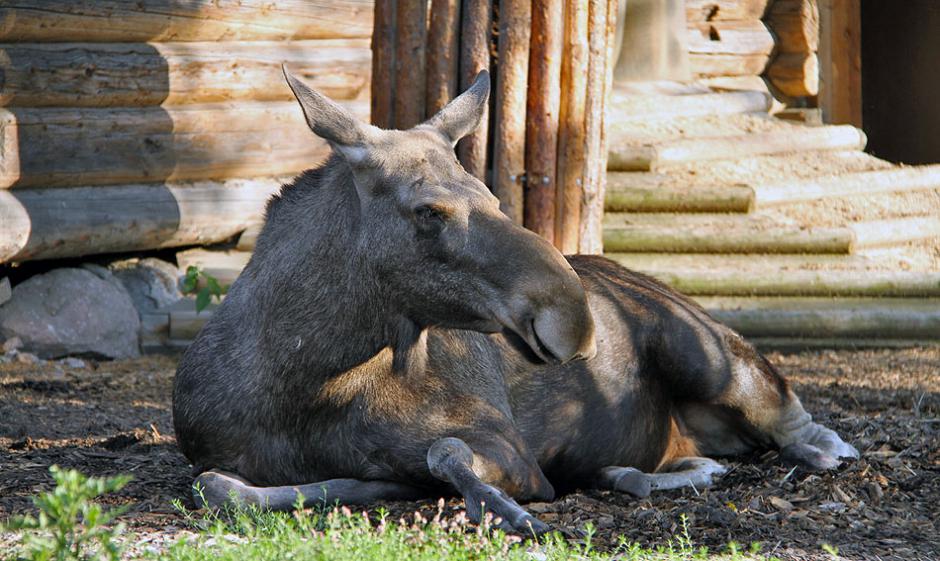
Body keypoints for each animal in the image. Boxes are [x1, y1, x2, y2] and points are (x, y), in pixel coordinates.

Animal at [171, 68, 860, 532]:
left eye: (494, 196)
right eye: (429, 211)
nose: (574, 317)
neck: (306, 381)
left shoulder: (509, 448)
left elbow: (446, 450)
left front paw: (506, 510)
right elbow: (221, 487)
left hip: (708, 355)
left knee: (792, 412)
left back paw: (818, 451)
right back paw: (649, 472)